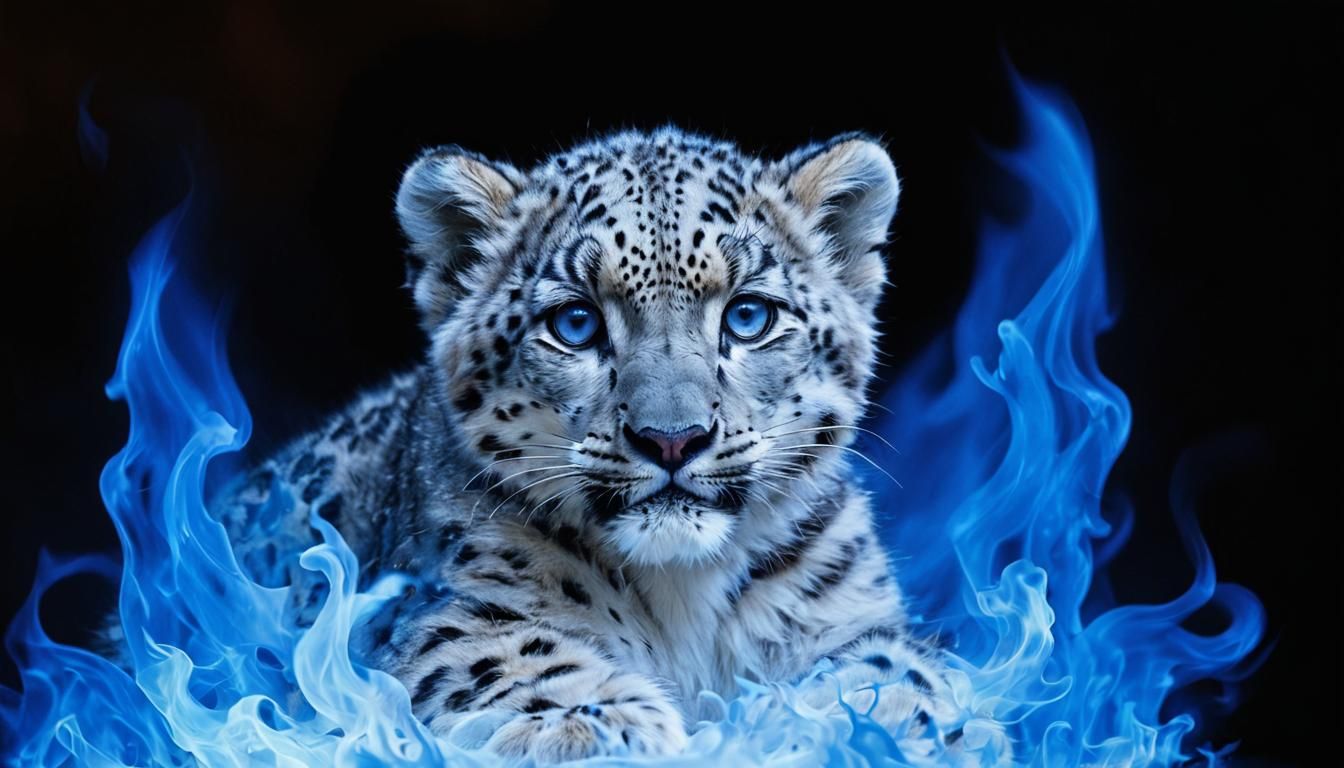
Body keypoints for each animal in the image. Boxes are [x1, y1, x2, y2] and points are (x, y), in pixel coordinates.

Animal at [201, 127, 1005, 763]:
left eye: (748, 316)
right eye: (577, 323)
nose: (673, 439)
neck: (685, 596)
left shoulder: (856, 611)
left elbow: (896, 666)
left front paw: (846, 718)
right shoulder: (433, 615)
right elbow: (498, 654)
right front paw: (598, 723)